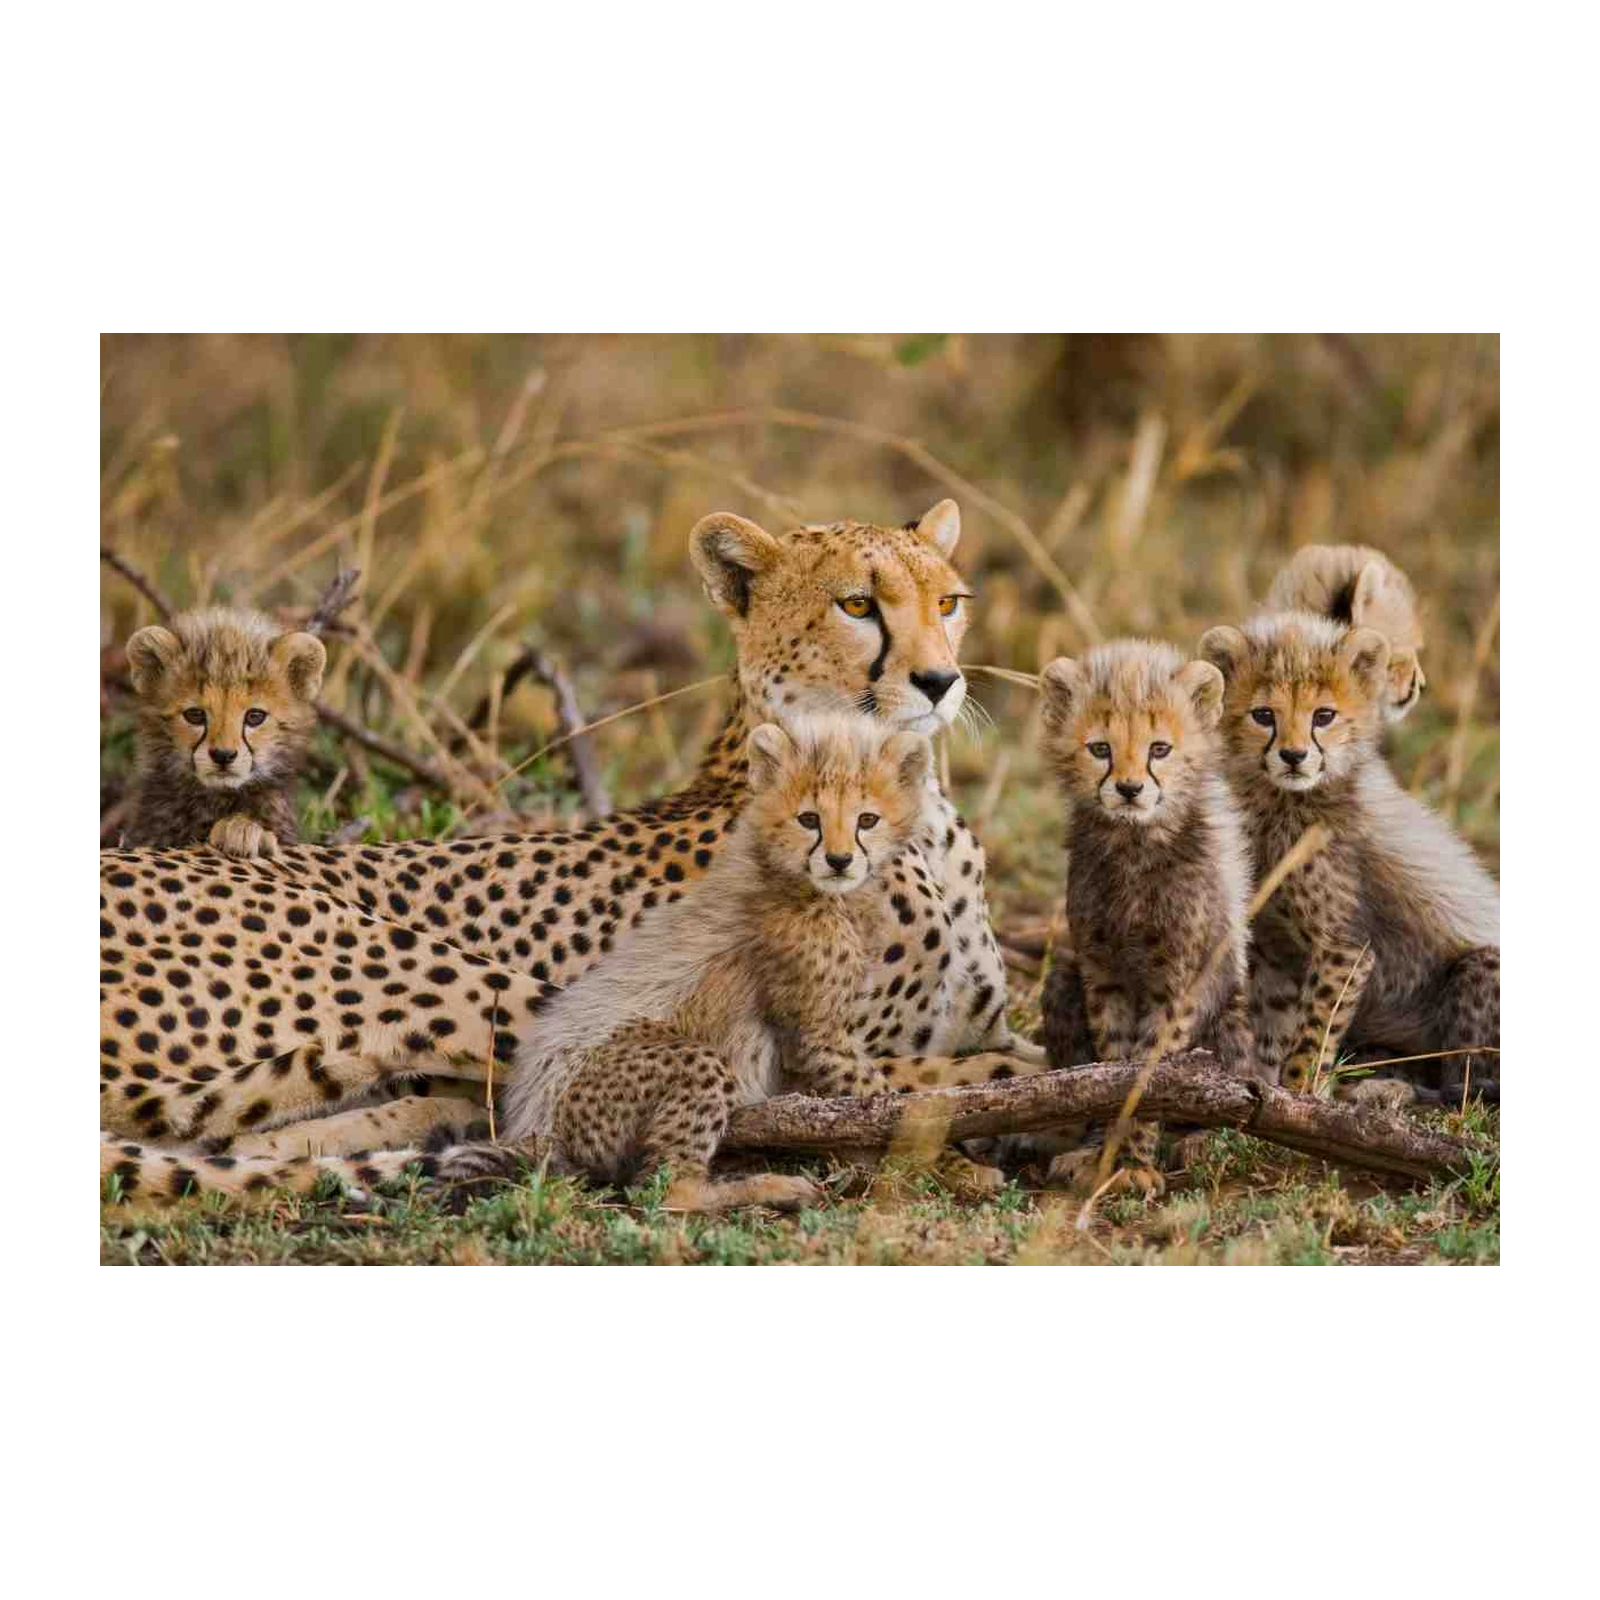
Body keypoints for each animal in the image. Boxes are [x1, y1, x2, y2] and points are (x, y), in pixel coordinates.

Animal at [1199, 611, 1502, 1108]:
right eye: (1264, 715)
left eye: (1324, 716)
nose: (1294, 756)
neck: (1284, 803)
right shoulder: (1276, 945)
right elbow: (1273, 1023)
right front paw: (1264, 1089)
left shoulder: (1345, 947)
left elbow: (1314, 1029)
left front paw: (1300, 1094)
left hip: (1481, 968)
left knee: (1470, 1080)